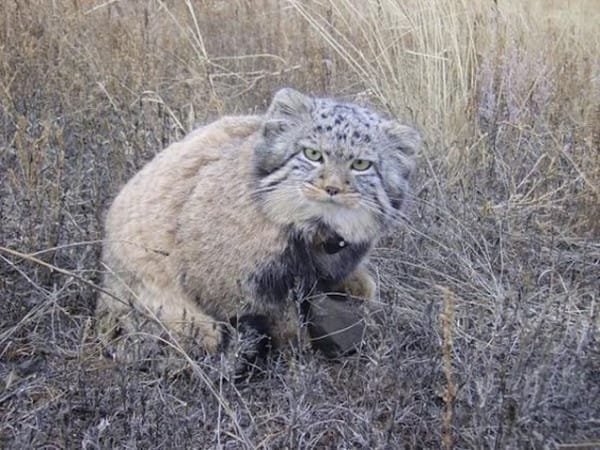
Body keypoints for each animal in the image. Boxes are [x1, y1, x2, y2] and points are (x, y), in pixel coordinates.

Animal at [96, 88, 420, 362]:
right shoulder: (228, 286)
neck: (312, 231)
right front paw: (297, 355)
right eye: (313, 154)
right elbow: (282, 322)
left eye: (361, 165)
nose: (332, 188)